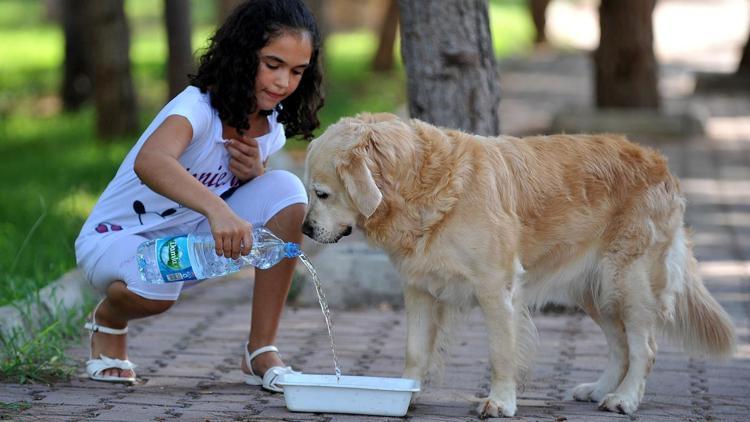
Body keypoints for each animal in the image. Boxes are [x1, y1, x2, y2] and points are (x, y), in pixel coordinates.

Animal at [302, 113, 736, 418]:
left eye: (321, 193)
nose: (305, 229)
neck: (425, 183)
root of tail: (660, 161)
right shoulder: (419, 288)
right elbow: (414, 352)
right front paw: (402, 397)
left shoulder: (497, 288)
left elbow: (501, 353)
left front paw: (501, 402)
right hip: (595, 288)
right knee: (620, 345)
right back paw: (599, 389)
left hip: (628, 280)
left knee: (644, 346)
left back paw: (624, 399)